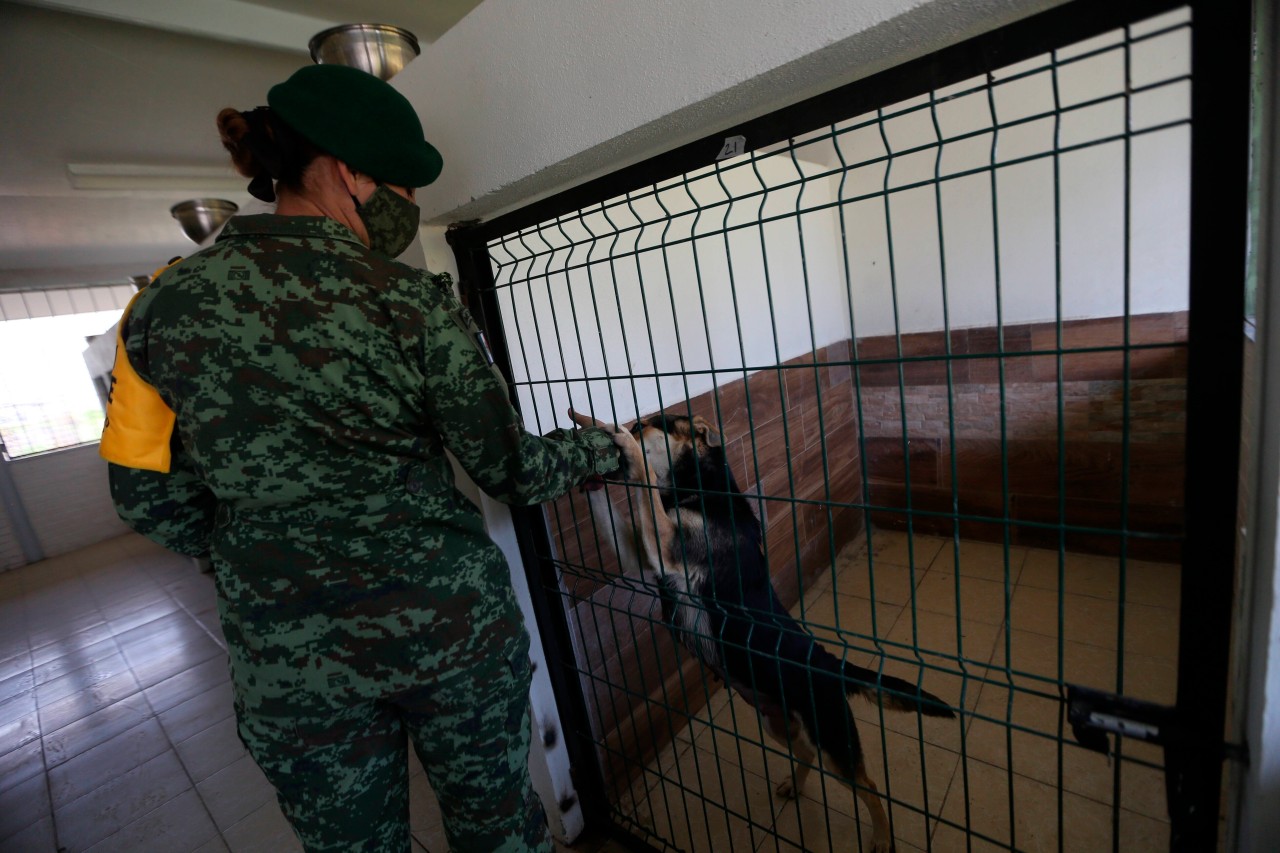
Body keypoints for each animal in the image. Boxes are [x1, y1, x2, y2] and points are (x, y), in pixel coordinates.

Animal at [568, 409, 952, 845]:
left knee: (868, 786)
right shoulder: (643, 559)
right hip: (777, 723)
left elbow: (645, 478)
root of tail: (829, 664)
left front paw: (617, 441)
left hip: (833, 741)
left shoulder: (666, 548)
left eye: (644, 426)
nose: (623, 432)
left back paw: (882, 837)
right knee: (807, 754)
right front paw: (589, 464)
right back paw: (795, 786)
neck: (698, 487)